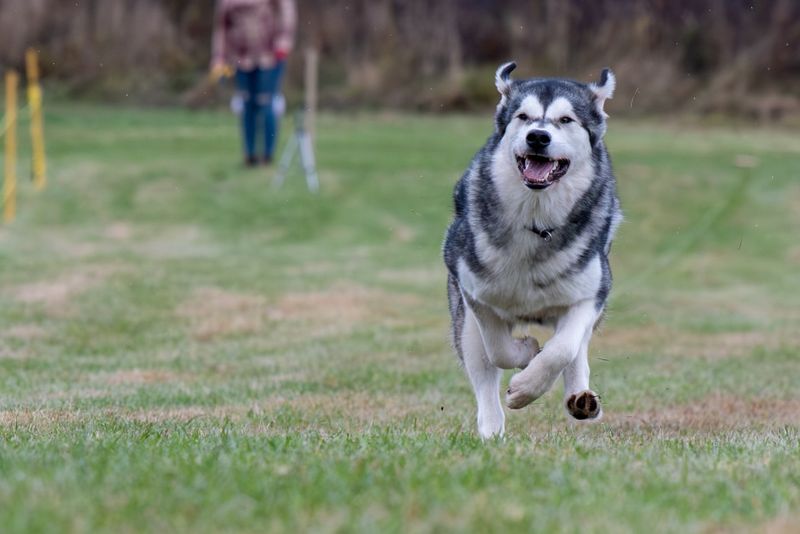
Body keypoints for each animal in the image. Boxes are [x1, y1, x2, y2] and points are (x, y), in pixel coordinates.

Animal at [440, 62, 620, 440]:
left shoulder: (592, 292)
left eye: (566, 119)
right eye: (523, 116)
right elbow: (499, 351)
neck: (536, 219)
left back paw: (580, 398)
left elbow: (563, 349)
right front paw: (525, 353)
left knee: (576, 347)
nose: (538, 136)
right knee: (483, 369)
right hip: (463, 322)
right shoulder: (475, 293)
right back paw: (491, 430)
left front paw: (526, 387)